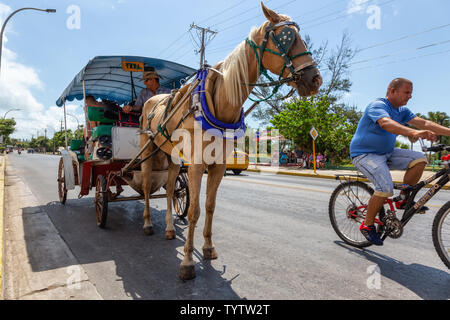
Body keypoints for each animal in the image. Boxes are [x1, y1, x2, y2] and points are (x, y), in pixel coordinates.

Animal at [139, 1, 322, 280]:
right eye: (286, 38)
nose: (315, 79)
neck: (220, 100)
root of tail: (152, 99)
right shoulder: (196, 165)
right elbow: (193, 210)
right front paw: (188, 261)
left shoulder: (219, 165)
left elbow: (210, 206)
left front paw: (208, 248)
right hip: (148, 150)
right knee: (149, 186)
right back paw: (148, 223)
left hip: (172, 156)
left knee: (170, 189)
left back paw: (170, 229)